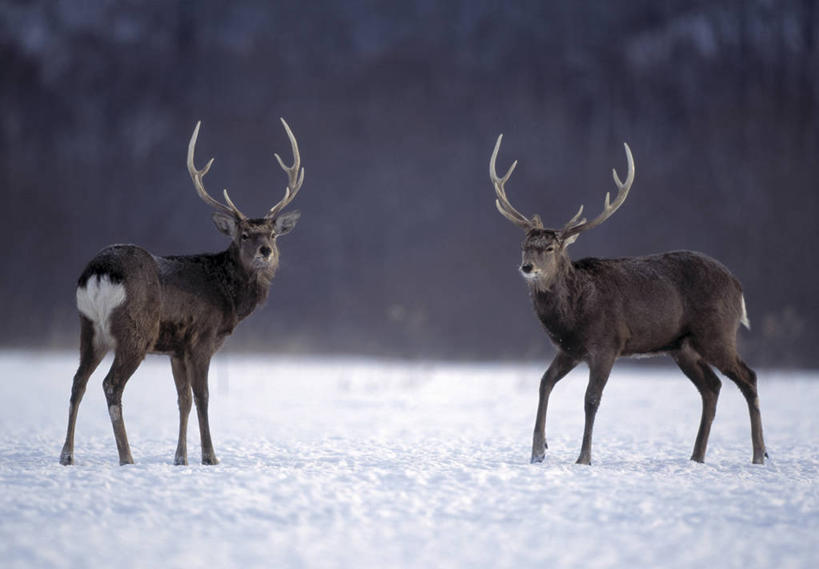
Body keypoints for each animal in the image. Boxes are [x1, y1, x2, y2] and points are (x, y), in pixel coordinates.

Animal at [60, 117, 304, 464]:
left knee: (78, 381)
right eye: (244, 234)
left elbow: (182, 399)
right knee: (111, 384)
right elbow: (202, 396)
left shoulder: (176, 348)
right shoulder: (202, 338)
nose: (266, 251)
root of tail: (99, 271)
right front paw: (209, 457)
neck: (227, 296)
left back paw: (67, 455)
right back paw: (126, 457)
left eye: (273, 233)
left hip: (89, 328)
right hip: (135, 331)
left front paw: (181, 458)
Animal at [490, 134, 764, 466]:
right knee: (712, 386)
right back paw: (697, 456)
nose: (527, 267)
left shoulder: (608, 344)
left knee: (748, 377)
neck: (574, 314)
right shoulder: (570, 349)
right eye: (524, 245)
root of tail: (738, 286)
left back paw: (759, 455)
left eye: (550, 248)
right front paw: (538, 451)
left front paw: (584, 458)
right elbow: (544, 383)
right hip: (682, 347)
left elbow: (591, 399)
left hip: (717, 333)